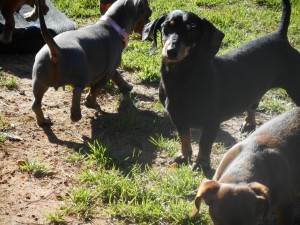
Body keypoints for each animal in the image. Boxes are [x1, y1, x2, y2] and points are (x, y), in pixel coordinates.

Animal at [141, 0, 300, 170]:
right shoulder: (176, 117)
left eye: (192, 30)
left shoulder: (212, 121)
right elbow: (185, 137)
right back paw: (249, 123)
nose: (171, 51)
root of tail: (280, 36)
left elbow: (204, 143)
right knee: (253, 103)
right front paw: (184, 156)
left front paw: (200, 163)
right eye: (166, 27)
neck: (183, 77)